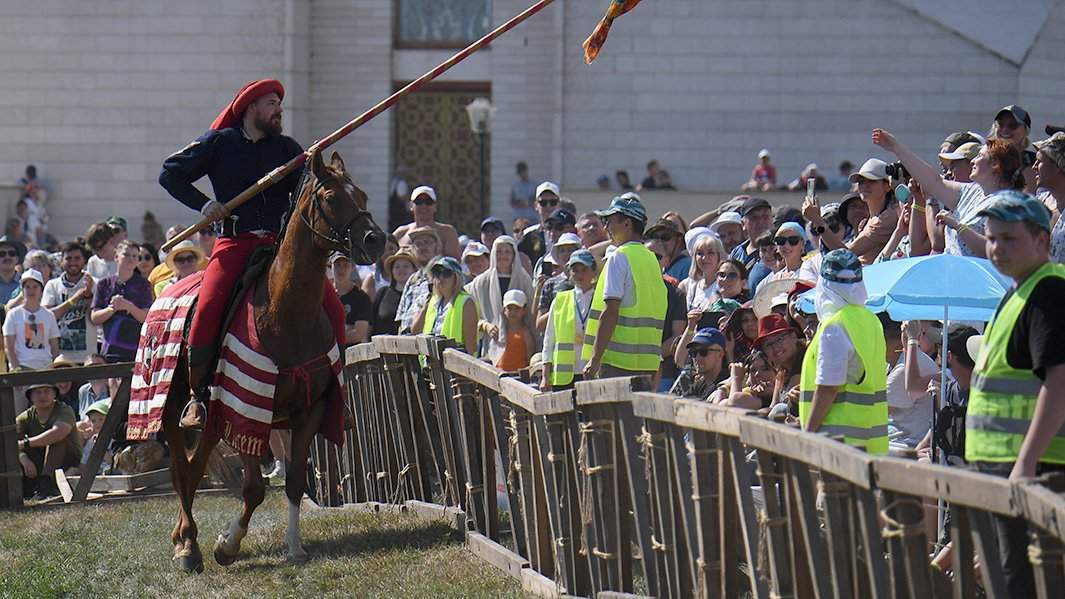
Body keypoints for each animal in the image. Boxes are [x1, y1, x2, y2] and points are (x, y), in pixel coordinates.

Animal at [159, 148, 385, 567]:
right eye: (332, 198)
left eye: (361, 195)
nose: (375, 240)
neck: (285, 310)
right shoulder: (245, 408)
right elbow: (253, 489)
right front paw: (226, 545)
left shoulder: (309, 411)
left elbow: (294, 482)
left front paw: (294, 545)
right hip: (173, 404)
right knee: (183, 469)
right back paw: (187, 546)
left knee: (195, 467)